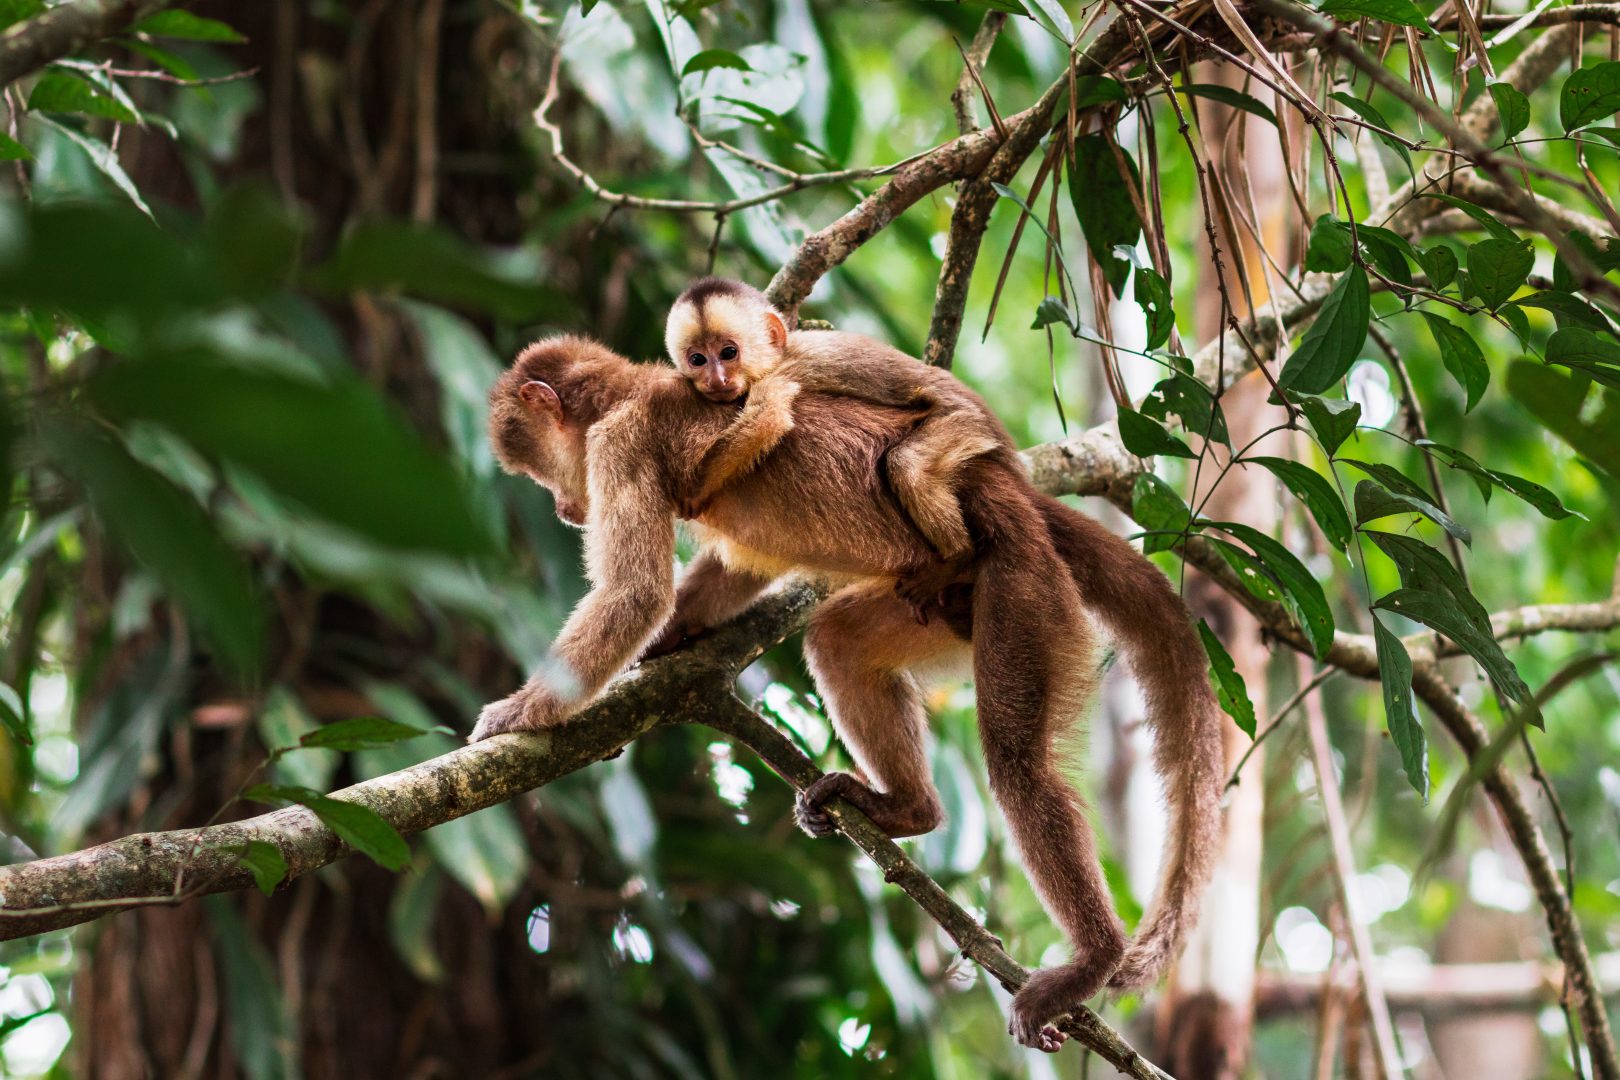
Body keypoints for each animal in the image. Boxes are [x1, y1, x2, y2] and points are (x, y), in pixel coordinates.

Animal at [477, 334, 1223, 1052]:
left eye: (538, 472)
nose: (563, 508)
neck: (633, 389)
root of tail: (1010, 493)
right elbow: (729, 573)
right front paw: (664, 646)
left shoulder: (620, 445)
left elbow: (634, 594)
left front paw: (523, 711)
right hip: (945, 601)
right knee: (837, 640)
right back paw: (910, 810)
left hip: (1022, 580)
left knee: (1018, 767)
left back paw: (1093, 958)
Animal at [664, 278, 999, 591]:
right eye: (698, 359)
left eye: (729, 352)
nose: (716, 379)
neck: (778, 357)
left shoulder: (787, 372)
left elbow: (767, 421)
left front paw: (692, 491)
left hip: (964, 425)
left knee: (907, 465)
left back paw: (958, 558)